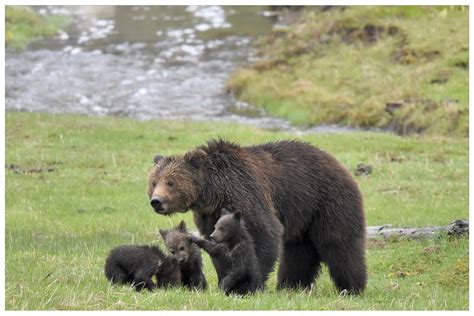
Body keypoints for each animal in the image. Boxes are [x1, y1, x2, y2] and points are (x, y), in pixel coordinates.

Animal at [147, 139, 366, 292]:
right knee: (298, 252)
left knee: (339, 244)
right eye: (154, 181)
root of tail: (339, 163)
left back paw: (352, 287)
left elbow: (263, 233)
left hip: (328, 201)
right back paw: (291, 285)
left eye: (171, 182)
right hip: (303, 217)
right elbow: (218, 246)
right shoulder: (210, 215)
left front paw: (248, 285)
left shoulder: (245, 193)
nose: (156, 201)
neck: (213, 191)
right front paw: (225, 279)